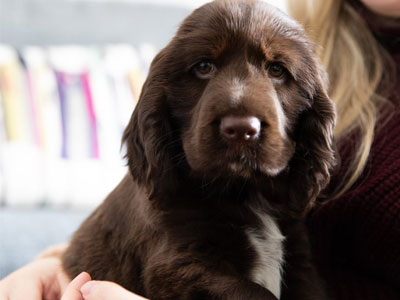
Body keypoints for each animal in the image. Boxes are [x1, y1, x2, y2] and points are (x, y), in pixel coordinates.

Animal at [63, 1, 338, 298]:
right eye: (204, 66)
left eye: (277, 70)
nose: (241, 129)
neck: (244, 192)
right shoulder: (178, 264)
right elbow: (255, 292)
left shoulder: (300, 259)